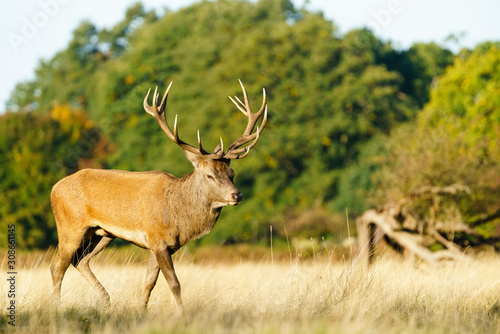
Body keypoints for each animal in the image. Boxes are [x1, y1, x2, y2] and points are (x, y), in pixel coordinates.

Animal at [50, 80, 268, 310]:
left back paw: (106, 299)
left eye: (232, 173)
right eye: (210, 175)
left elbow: (148, 283)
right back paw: (57, 306)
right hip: (70, 227)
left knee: (80, 260)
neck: (178, 217)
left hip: (102, 232)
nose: (237, 195)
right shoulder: (158, 240)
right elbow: (174, 283)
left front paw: (141, 311)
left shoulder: (162, 246)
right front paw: (181, 313)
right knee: (58, 266)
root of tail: (54, 189)